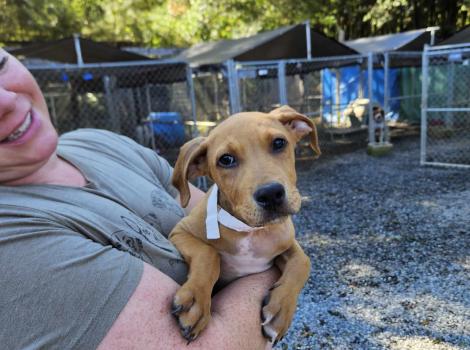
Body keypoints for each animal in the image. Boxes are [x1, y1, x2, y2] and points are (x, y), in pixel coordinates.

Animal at [168, 105, 320, 344]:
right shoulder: (179, 232)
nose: (271, 194)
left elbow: (303, 262)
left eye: (279, 143)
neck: (250, 230)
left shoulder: (287, 242)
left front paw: (280, 310)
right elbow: (208, 254)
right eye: (226, 160)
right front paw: (196, 300)